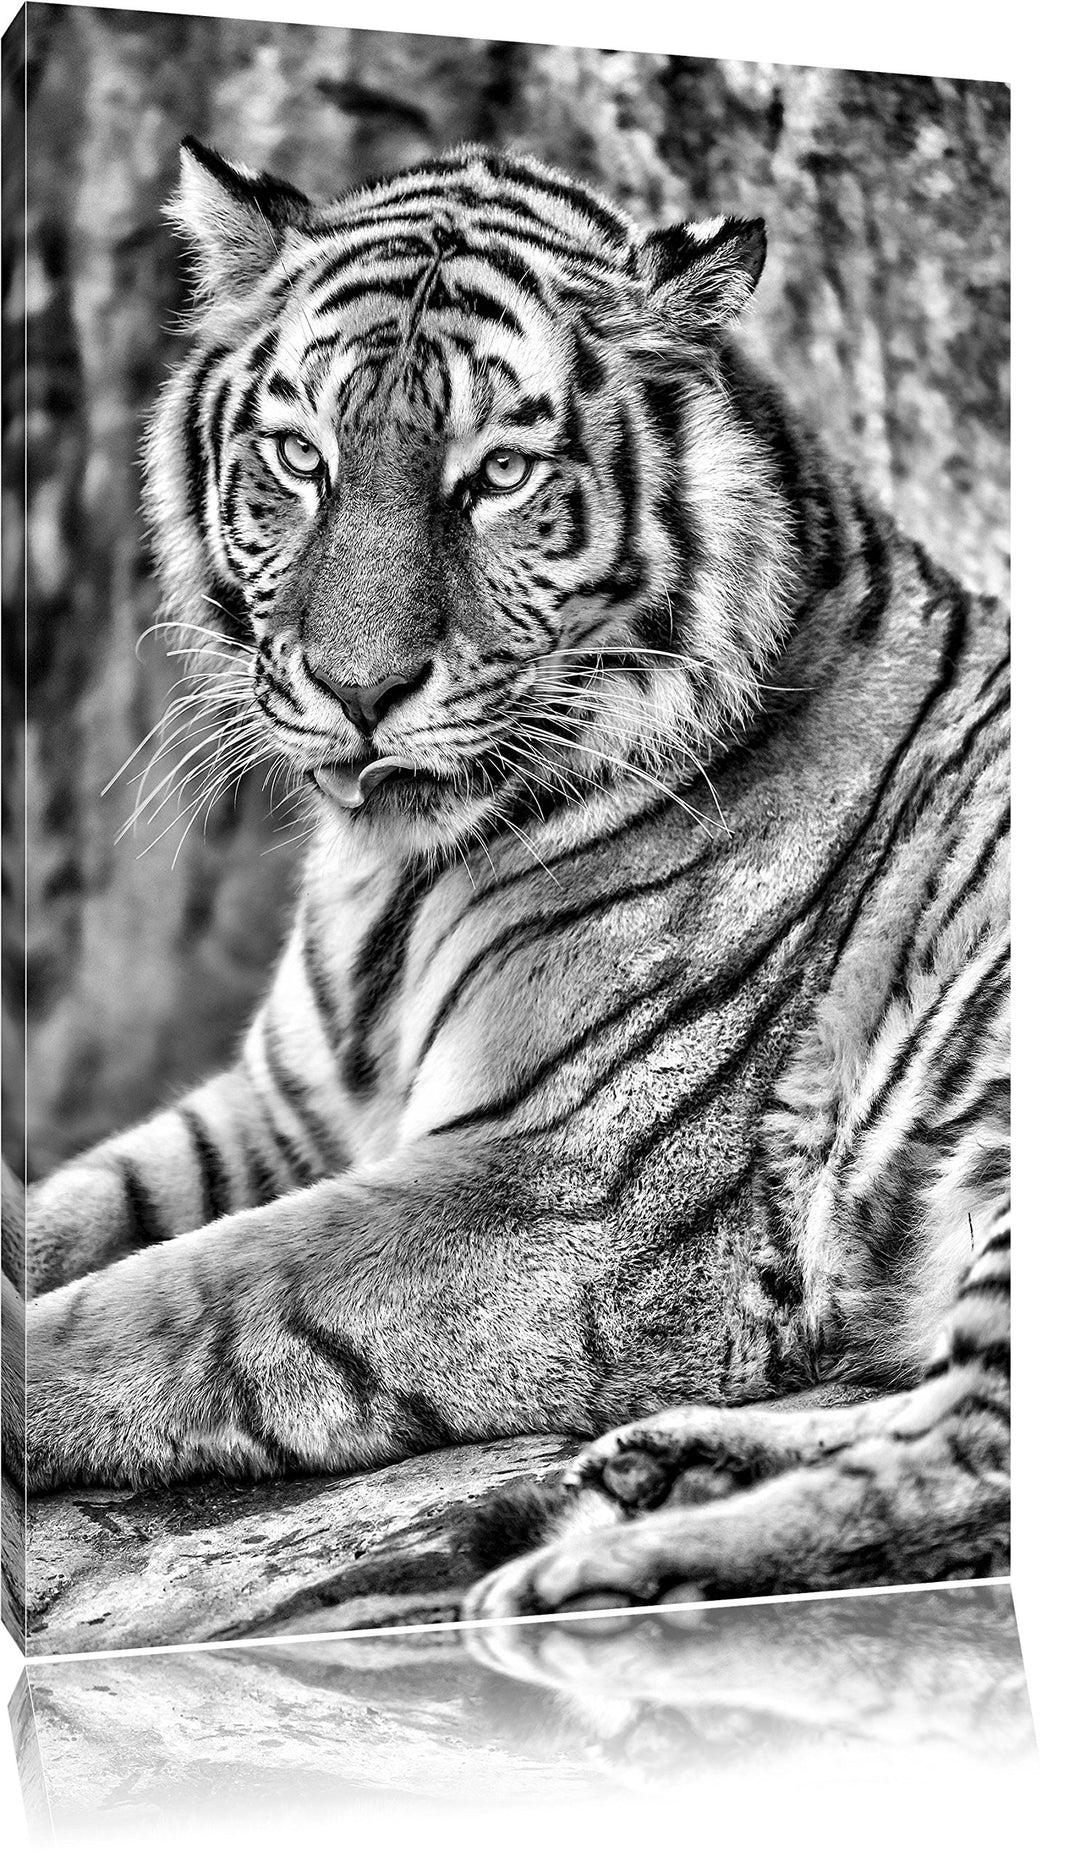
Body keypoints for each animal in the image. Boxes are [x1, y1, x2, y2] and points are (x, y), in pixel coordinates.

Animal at [3, 139, 1009, 1625]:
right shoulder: (276, 1112)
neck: (392, 873)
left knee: (974, 1463)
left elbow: (185, 1299)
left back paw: (603, 1572)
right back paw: (661, 1471)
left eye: (499, 476)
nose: (358, 690)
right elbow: (71, 1205)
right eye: (300, 458)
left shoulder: (558, 1185)